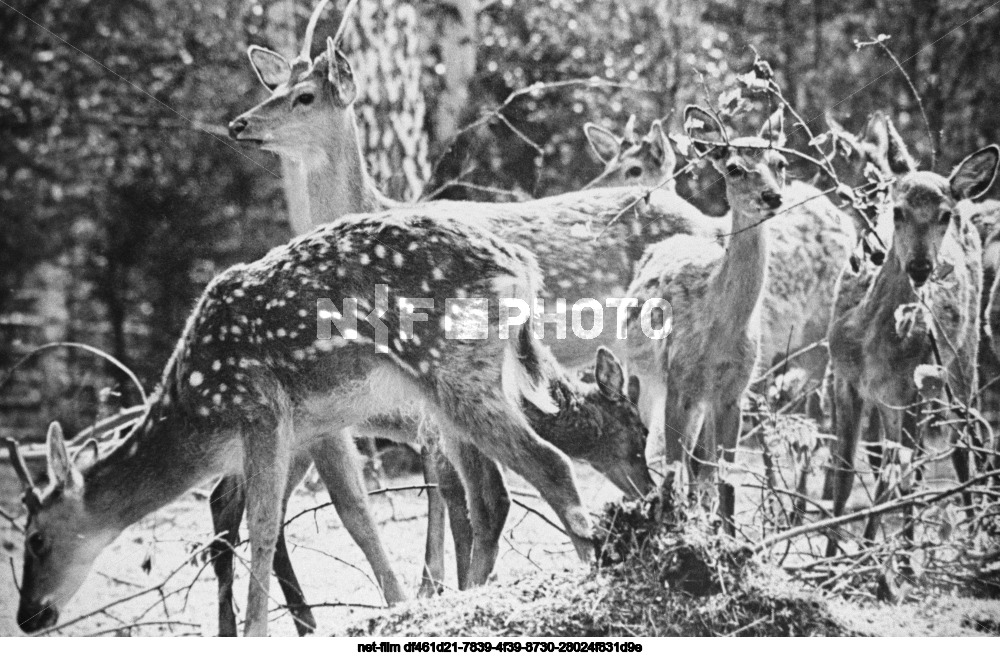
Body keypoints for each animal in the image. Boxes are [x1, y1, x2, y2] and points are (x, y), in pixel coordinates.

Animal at [9, 206, 648, 636]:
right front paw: (399, 606)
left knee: (547, 465)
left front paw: (258, 632)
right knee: (498, 489)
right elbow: (353, 513)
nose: (28, 615)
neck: (199, 408)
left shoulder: (261, 409)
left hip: (451, 369)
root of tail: (522, 265)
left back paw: (591, 585)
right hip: (455, 384)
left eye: (36, 538)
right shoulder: (315, 425)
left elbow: (266, 525)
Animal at [620, 107, 792, 528]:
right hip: (643, 376)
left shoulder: (733, 394)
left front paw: (728, 538)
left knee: (699, 466)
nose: (772, 196)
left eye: (781, 163)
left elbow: (725, 480)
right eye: (734, 168)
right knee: (658, 451)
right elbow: (672, 467)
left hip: (699, 402)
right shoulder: (678, 379)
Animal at [824, 114, 996, 560]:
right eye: (898, 211)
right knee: (896, 464)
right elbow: (844, 475)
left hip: (959, 357)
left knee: (960, 446)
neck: (870, 344)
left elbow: (899, 480)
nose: (920, 266)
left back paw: (970, 536)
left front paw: (885, 562)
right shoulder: (845, 380)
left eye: (943, 215)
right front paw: (833, 558)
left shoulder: (911, 386)